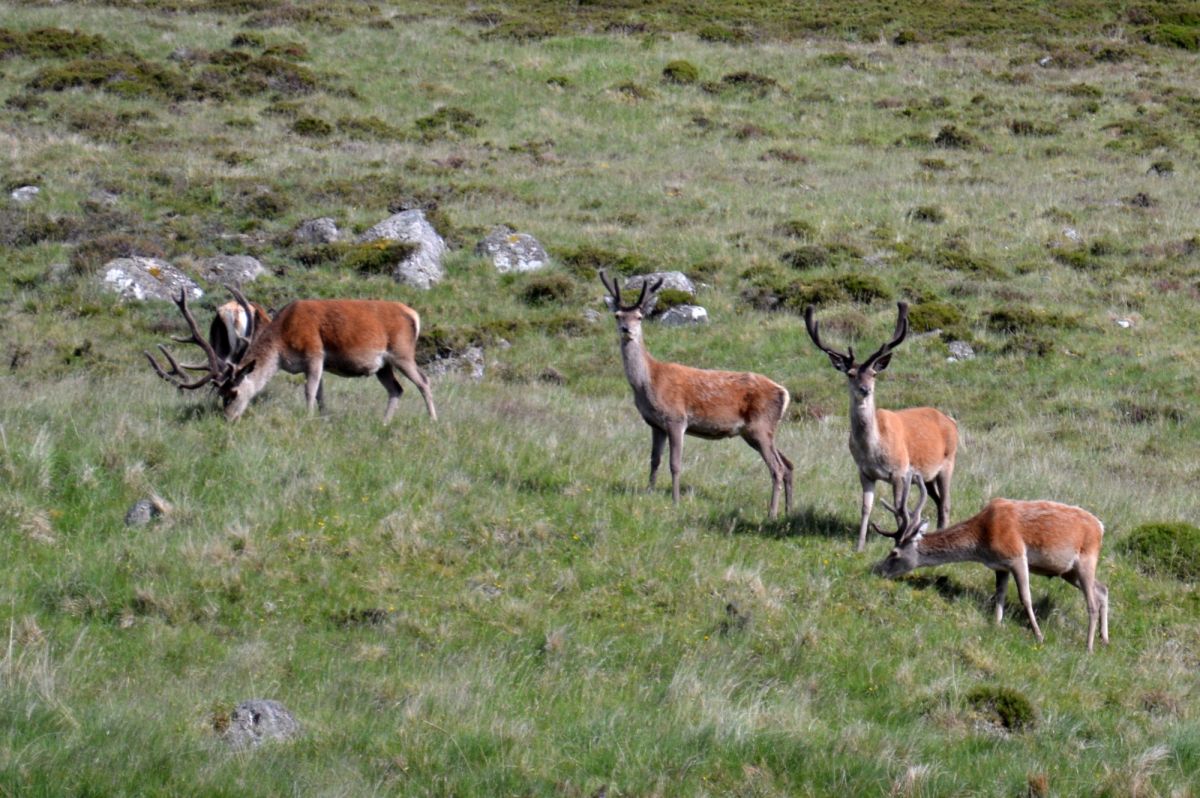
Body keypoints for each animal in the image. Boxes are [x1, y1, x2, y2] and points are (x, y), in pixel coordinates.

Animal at [145, 288, 436, 422]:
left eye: (233, 394)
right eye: (220, 394)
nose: (227, 418)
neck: (282, 345)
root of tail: (414, 315)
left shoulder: (314, 353)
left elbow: (309, 391)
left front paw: (307, 418)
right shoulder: (320, 362)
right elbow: (320, 393)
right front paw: (322, 417)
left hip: (402, 352)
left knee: (424, 381)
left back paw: (433, 420)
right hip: (383, 365)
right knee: (396, 389)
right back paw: (384, 422)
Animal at [600, 268, 796, 516]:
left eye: (639, 317)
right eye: (617, 315)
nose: (627, 330)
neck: (649, 382)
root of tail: (784, 393)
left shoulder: (676, 418)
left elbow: (675, 464)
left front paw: (675, 501)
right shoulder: (655, 424)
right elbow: (654, 460)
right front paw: (649, 493)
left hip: (760, 426)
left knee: (777, 468)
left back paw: (771, 513)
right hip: (759, 431)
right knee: (788, 464)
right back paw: (788, 511)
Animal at [801, 302, 960, 552]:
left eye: (874, 373)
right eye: (851, 373)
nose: (865, 389)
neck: (873, 449)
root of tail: (950, 421)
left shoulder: (900, 472)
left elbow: (898, 510)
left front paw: (898, 539)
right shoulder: (864, 472)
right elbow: (865, 507)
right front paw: (859, 546)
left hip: (948, 463)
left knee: (945, 504)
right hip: (927, 475)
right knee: (937, 501)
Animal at [873, 482, 1104, 652]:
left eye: (894, 553)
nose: (878, 570)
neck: (982, 541)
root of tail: (1101, 527)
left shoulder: (1016, 555)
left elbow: (1025, 598)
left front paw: (1039, 636)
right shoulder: (1000, 566)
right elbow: (999, 595)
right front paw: (997, 624)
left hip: (1086, 560)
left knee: (1092, 602)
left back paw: (1089, 646)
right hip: (1068, 571)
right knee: (1102, 589)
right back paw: (1105, 639)